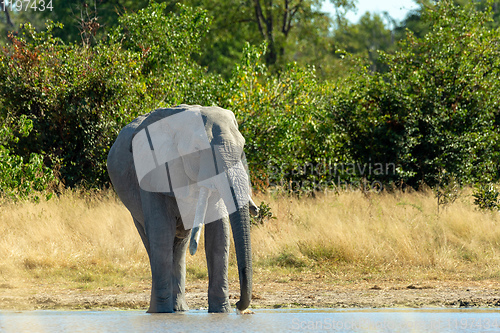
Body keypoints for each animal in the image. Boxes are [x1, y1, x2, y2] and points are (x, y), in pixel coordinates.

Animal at [108, 104, 258, 312]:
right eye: (197, 150)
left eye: (243, 148)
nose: (238, 305)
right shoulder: (152, 171)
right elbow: (161, 232)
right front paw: (161, 314)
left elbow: (219, 236)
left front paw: (221, 312)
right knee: (153, 241)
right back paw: (160, 310)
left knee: (179, 245)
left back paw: (179, 310)